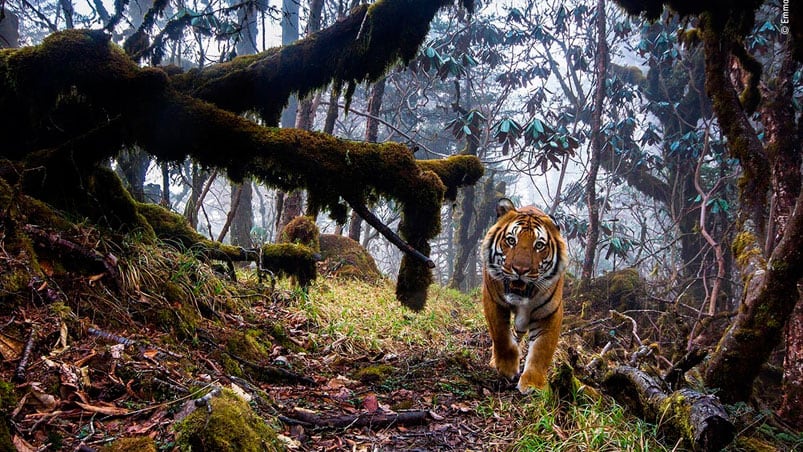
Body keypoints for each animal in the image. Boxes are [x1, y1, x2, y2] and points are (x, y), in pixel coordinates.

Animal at [480, 198, 568, 392]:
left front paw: (533, 384)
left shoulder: (550, 313)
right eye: (511, 240)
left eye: (539, 245)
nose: (520, 270)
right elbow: (501, 336)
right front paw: (506, 368)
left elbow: (542, 349)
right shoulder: (493, 300)